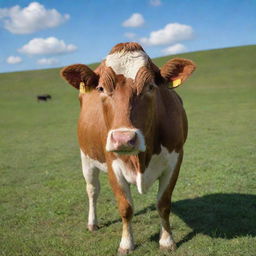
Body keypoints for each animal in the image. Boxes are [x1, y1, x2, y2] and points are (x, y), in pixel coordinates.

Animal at [60, 42, 196, 254]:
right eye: (101, 88)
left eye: (150, 86)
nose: (123, 139)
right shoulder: (112, 165)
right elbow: (126, 207)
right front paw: (126, 243)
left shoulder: (175, 160)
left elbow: (163, 204)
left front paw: (167, 240)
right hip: (86, 157)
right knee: (92, 190)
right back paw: (92, 223)